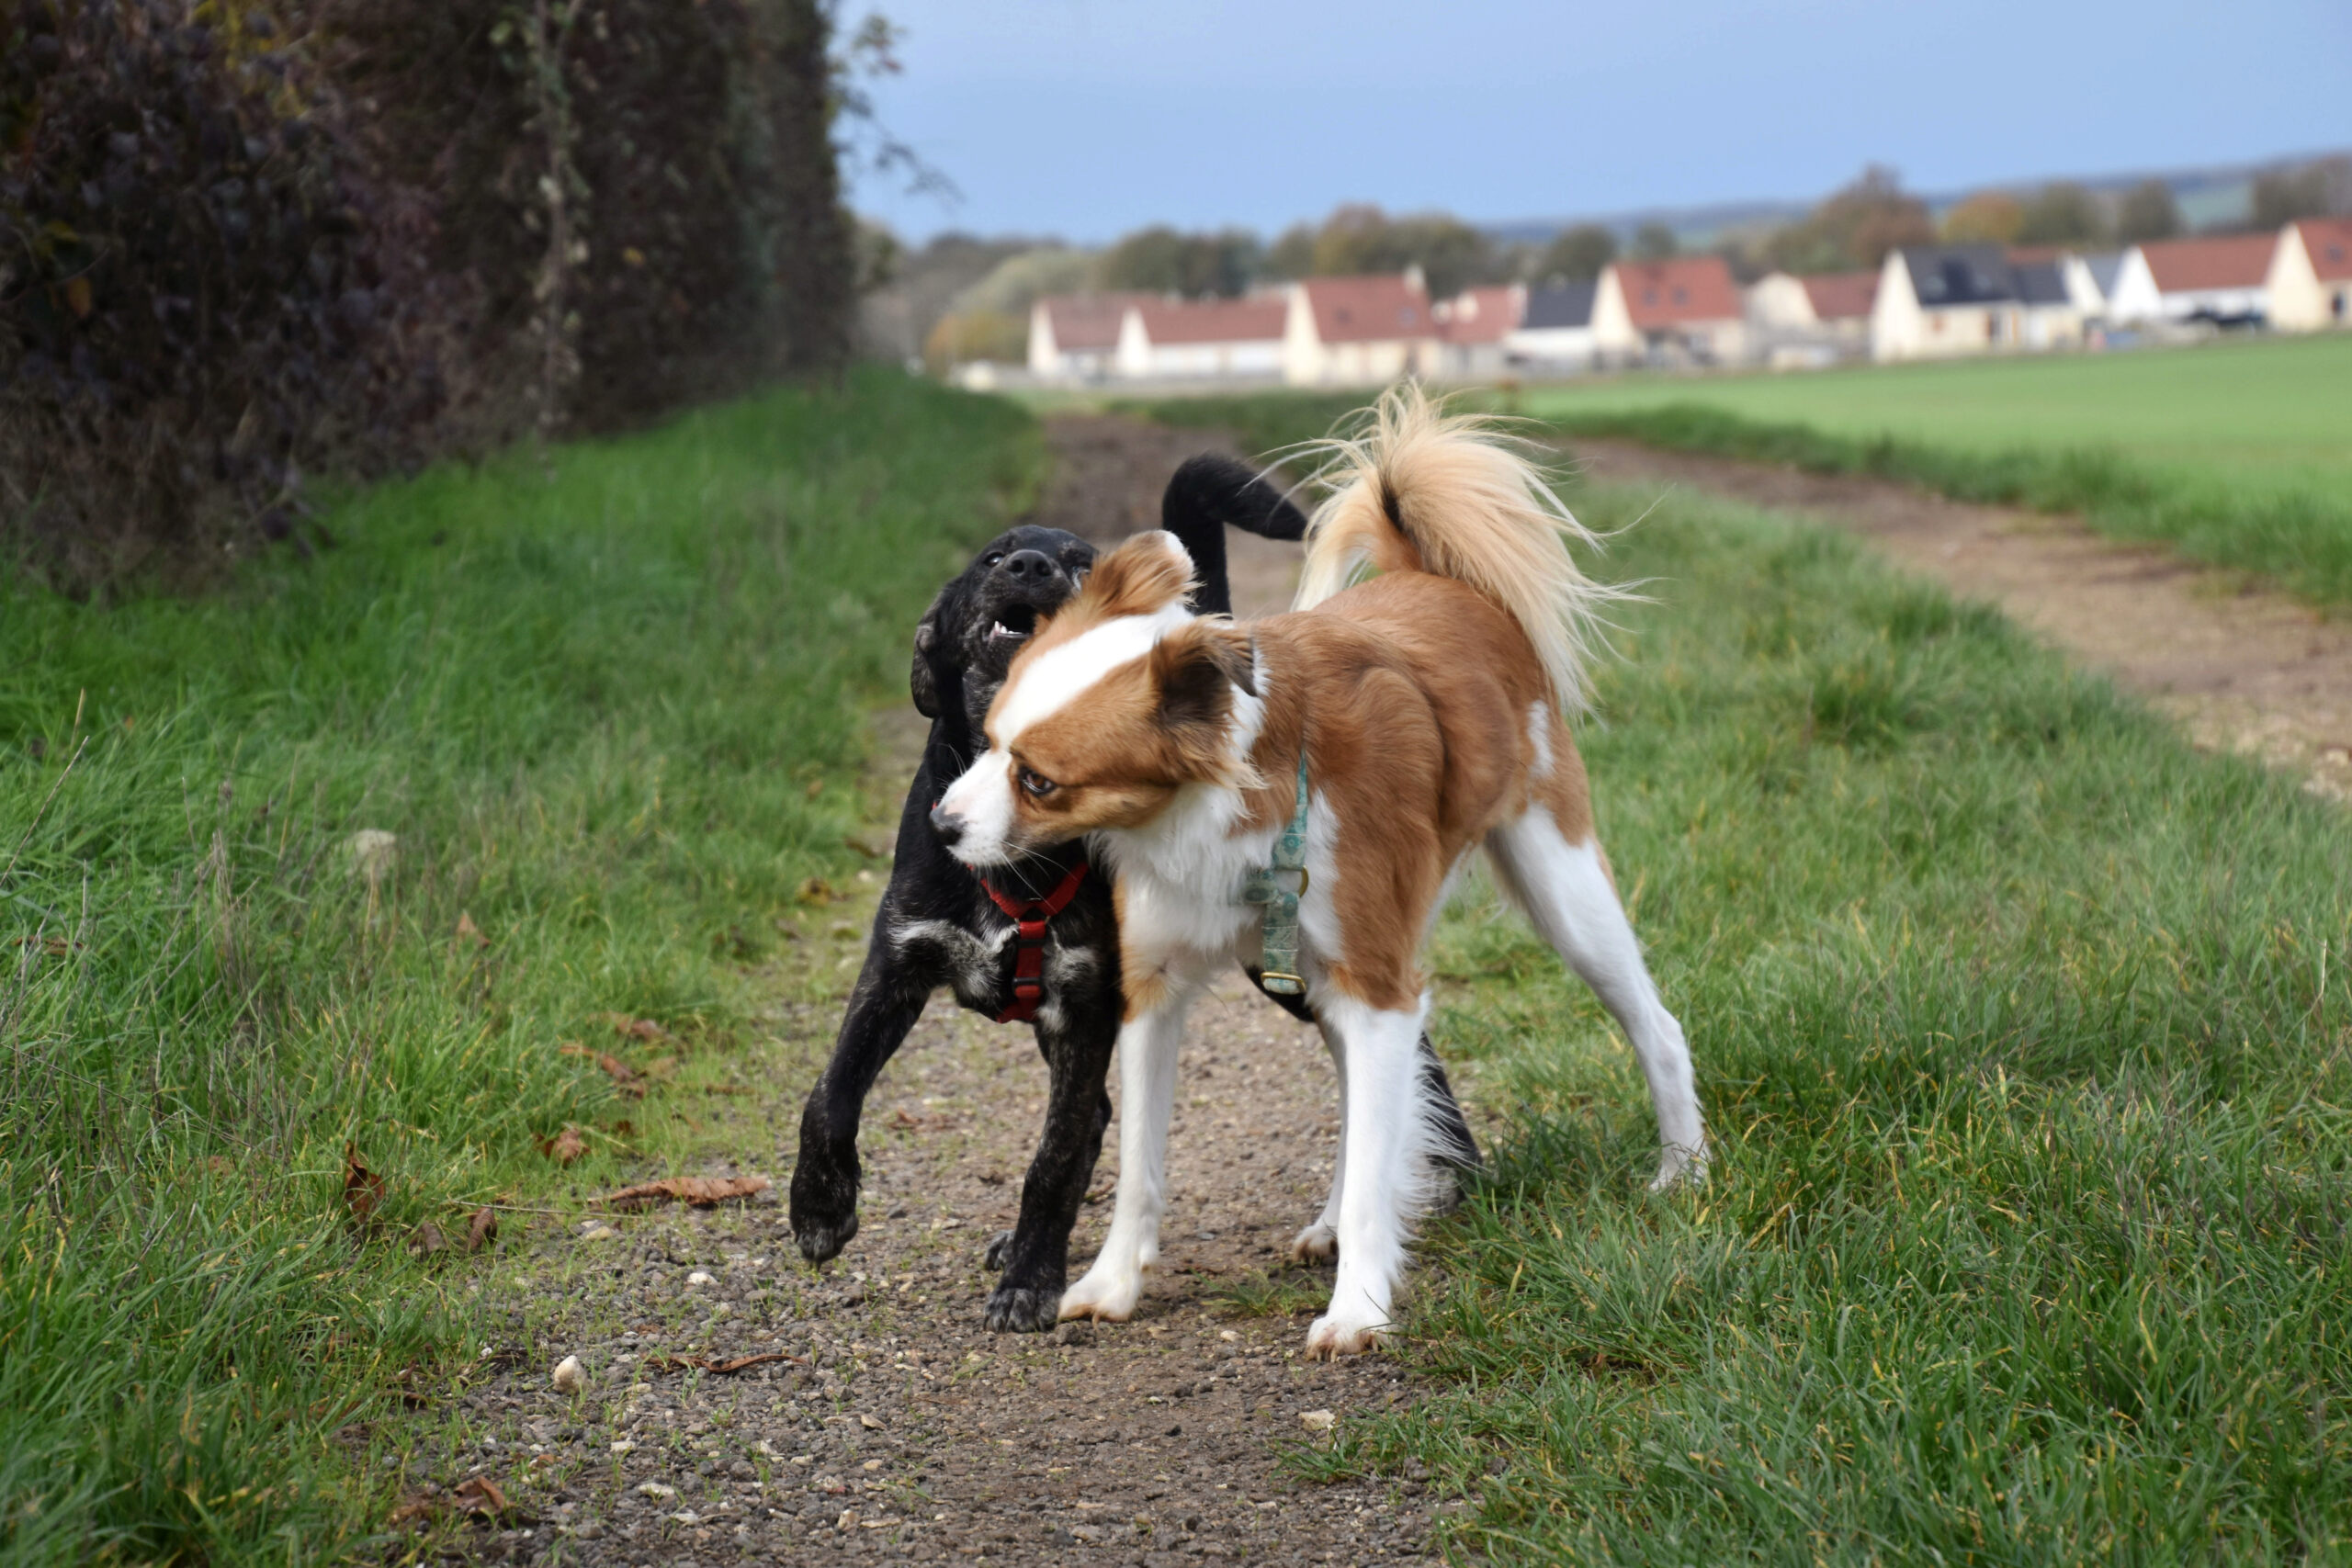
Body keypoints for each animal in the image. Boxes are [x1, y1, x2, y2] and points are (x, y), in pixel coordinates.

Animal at [799, 456, 1476, 1335]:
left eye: (1082, 560)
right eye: (993, 556)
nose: (1031, 566)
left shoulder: (1087, 1002)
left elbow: (1054, 1156)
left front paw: (1031, 1279)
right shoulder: (899, 960)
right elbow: (832, 1090)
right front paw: (818, 1206)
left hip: (1284, 964)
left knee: (1404, 1045)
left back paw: (1451, 1169)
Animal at [926, 392, 1702, 1363]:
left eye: (1038, 780)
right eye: (987, 737)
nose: (941, 826)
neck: (1218, 810)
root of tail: (1437, 580)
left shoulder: (1382, 988)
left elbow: (1376, 1157)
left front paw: (1360, 1308)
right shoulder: (1154, 992)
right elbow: (1142, 1163)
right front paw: (1110, 1284)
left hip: (1559, 883)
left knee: (1655, 1025)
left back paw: (1683, 1171)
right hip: (1314, 975)